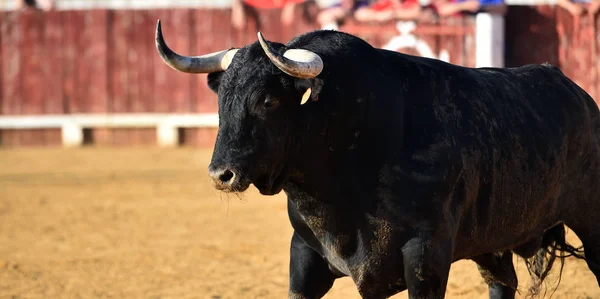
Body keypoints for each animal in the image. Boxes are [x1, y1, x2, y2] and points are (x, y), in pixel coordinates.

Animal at [156, 19, 600, 298]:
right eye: (221, 99)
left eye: (267, 100)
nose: (221, 174)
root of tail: (578, 94)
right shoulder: (305, 255)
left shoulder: (426, 257)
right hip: (495, 240)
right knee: (500, 283)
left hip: (590, 220)